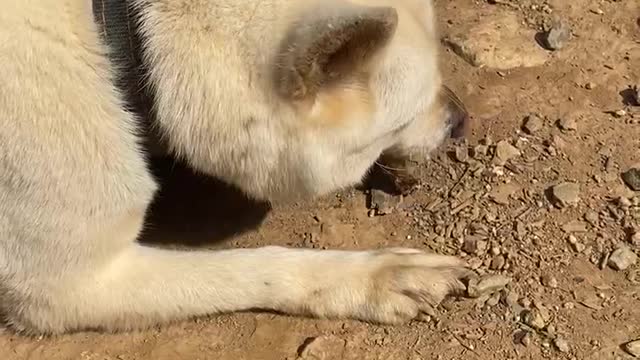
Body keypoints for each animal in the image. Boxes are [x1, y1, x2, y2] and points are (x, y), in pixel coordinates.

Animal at [0, 0, 470, 334]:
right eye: (406, 119)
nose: (462, 120)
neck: (122, 40)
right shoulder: (70, 286)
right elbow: (254, 266)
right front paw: (373, 275)